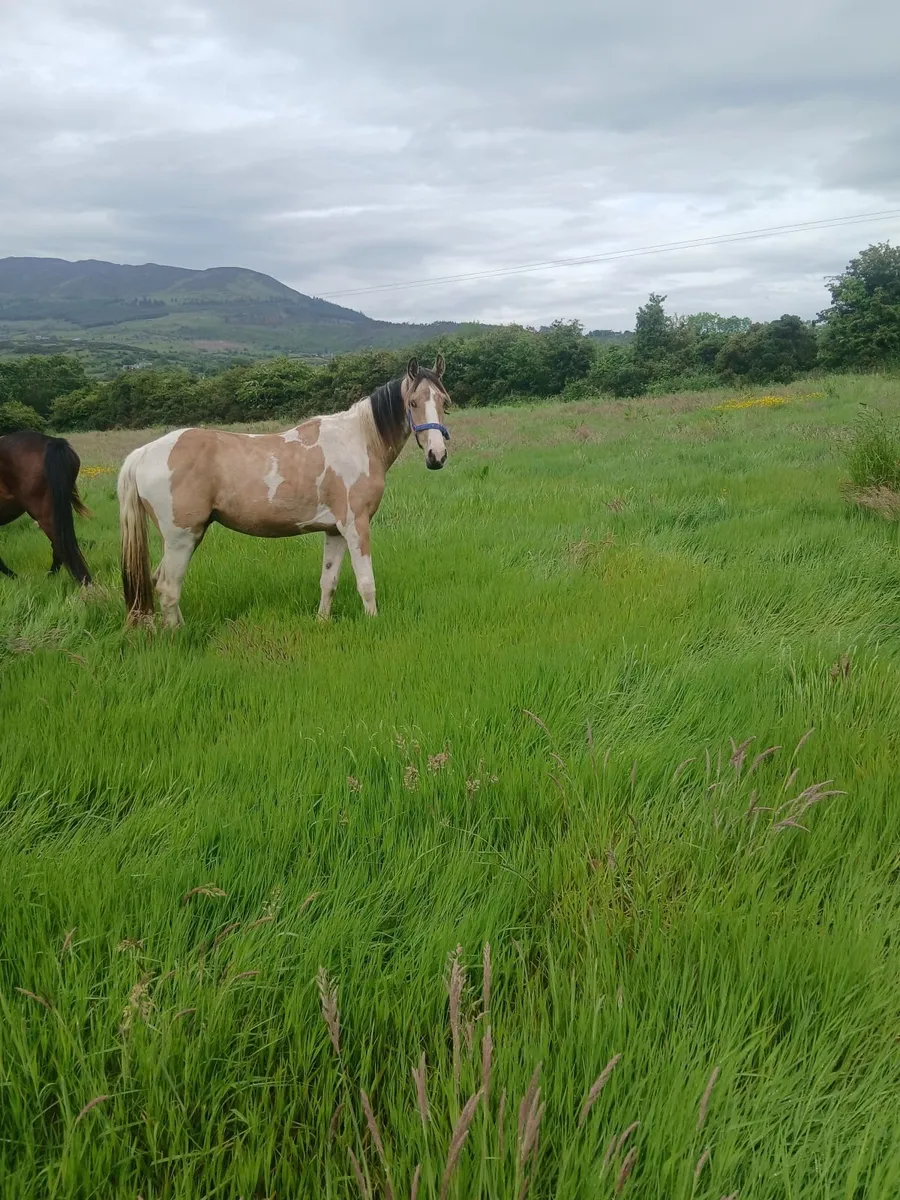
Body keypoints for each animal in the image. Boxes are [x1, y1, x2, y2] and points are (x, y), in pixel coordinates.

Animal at [117, 355, 451, 627]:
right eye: (413, 403)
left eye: (444, 402)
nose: (437, 456)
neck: (358, 441)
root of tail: (143, 454)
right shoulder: (356, 526)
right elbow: (366, 582)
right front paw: (373, 623)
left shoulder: (334, 531)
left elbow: (328, 581)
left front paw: (322, 622)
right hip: (181, 538)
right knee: (168, 588)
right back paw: (177, 636)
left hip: (186, 537)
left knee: (159, 581)